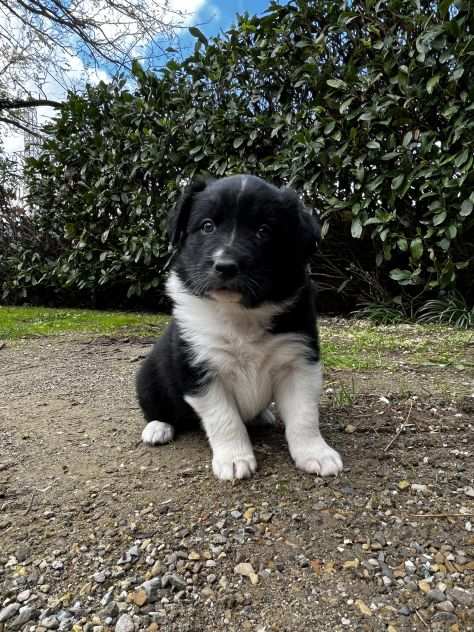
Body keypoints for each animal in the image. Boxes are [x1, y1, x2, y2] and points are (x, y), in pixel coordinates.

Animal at [135, 175, 342, 482]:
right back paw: (158, 427)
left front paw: (315, 453)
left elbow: (304, 416)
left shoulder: (299, 361)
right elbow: (225, 419)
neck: (240, 314)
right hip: (148, 376)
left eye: (264, 231)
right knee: (156, 408)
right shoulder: (199, 370)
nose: (225, 266)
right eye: (207, 226)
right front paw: (234, 459)